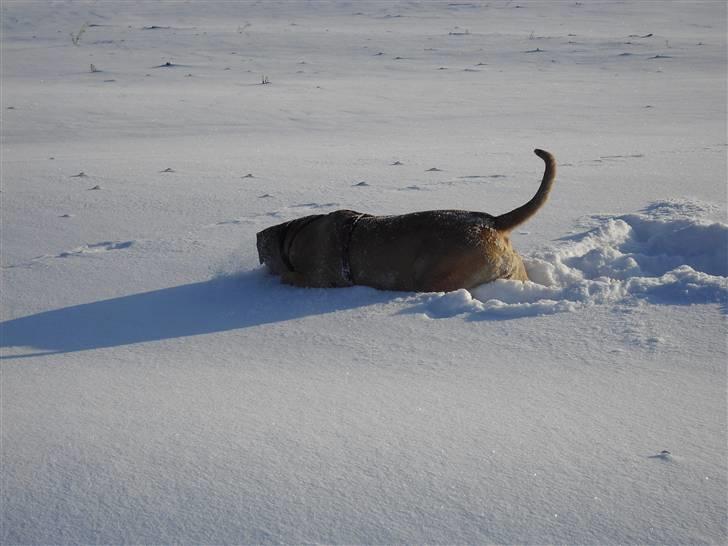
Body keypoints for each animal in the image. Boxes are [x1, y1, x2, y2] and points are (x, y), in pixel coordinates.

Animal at [258, 147, 556, 292]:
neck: (294, 237)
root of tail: (493, 222)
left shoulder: (319, 276)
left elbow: (290, 276)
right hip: (511, 270)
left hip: (439, 276)